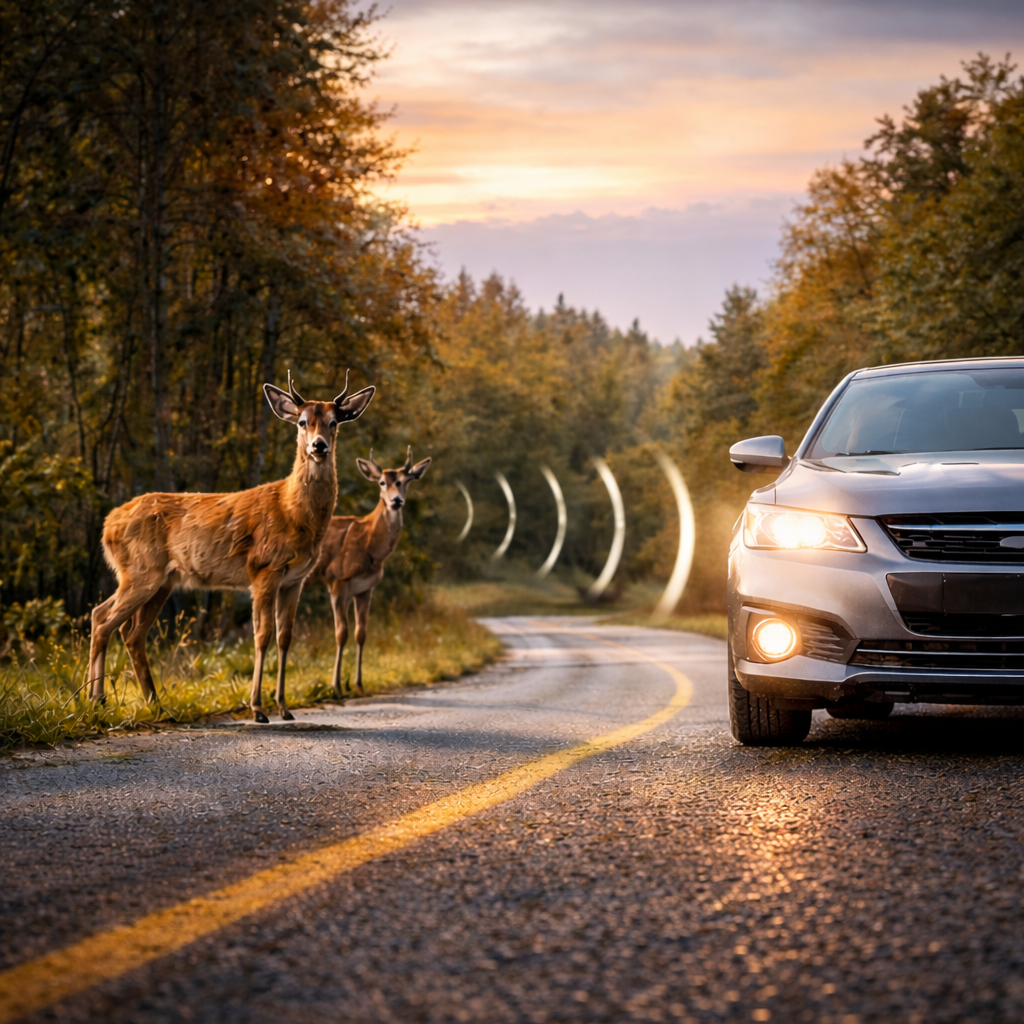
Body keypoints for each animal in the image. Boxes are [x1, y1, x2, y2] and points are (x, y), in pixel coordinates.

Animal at [88, 372, 375, 722]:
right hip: (142, 571)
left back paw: (150, 704)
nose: (318, 445)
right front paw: (257, 708)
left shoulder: (295, 579)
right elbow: (262, 636)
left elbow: (285, 637)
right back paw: (98, 701)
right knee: (106, 621)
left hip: (159, 580)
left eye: (334, 422)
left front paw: (284, 707)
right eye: (302, 422)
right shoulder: (264, 568)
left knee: (119, 625)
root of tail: (107, 525)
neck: (291, 510)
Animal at [306, 446, 431, 697]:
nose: (396, 501)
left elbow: (361, 633)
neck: (370, 546)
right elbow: (341, 633)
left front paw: (358, 684)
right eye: (382, 482)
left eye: (405, 482)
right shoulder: (338, 580)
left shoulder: (366, 588)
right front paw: (336, 686)